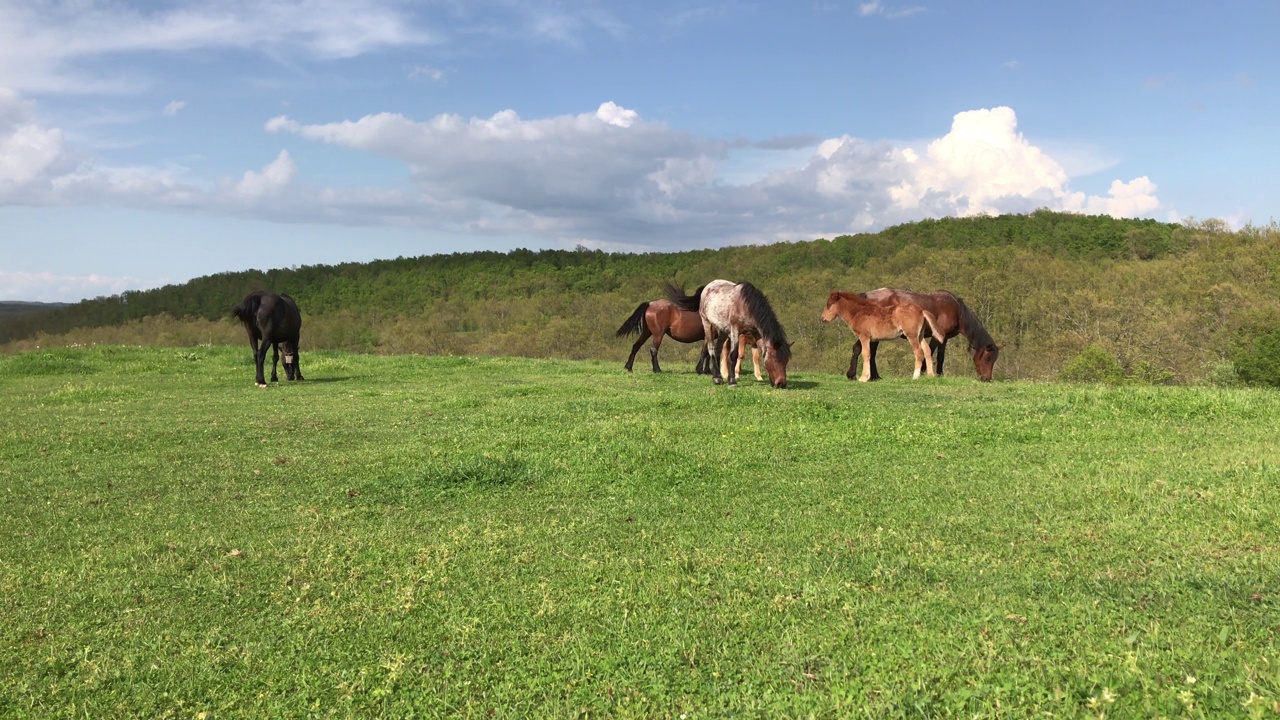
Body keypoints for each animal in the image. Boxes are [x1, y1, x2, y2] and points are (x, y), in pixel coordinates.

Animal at [849, 288, 998, 384]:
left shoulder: (944, 339)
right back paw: (858, 375)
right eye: (987, 358)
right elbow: (931, 352)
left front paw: (939, 374)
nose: (987, 379)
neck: (958, 311)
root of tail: (867, 295)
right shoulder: (936, 337)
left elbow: (940, 356)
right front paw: (925, 372)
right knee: (863, 350)